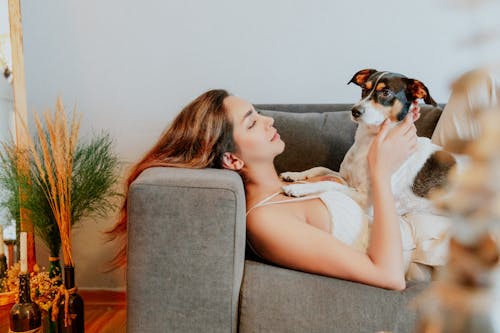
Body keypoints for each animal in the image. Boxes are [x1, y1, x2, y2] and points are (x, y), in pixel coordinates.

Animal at [282, 69, 464, 215]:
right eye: (364, 89)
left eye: (386, 92)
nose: (354, 111)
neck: (367, 142)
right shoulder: (345, 177)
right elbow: (320, 168)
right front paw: (293, 175)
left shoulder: (368, 201)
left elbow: (328, 184)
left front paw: (299, 188)